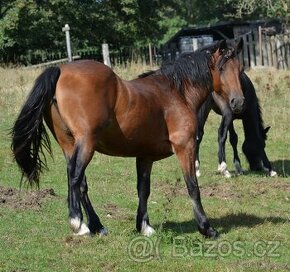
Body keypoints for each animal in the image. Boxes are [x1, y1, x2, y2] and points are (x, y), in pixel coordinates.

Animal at [10, 39, 245, 238]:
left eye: (240, 69)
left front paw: (144, 226)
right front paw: (207, 228)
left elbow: (143, 189)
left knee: (81, 183)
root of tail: (60, 70)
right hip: (86, 143)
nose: (238, 102)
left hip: (69, 144)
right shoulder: (185, 147)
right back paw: (78, 222)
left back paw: (97, 226)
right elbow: (192, 186)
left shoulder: (145, 156)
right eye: (221, 68)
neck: (176, 93)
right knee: (75, 176)